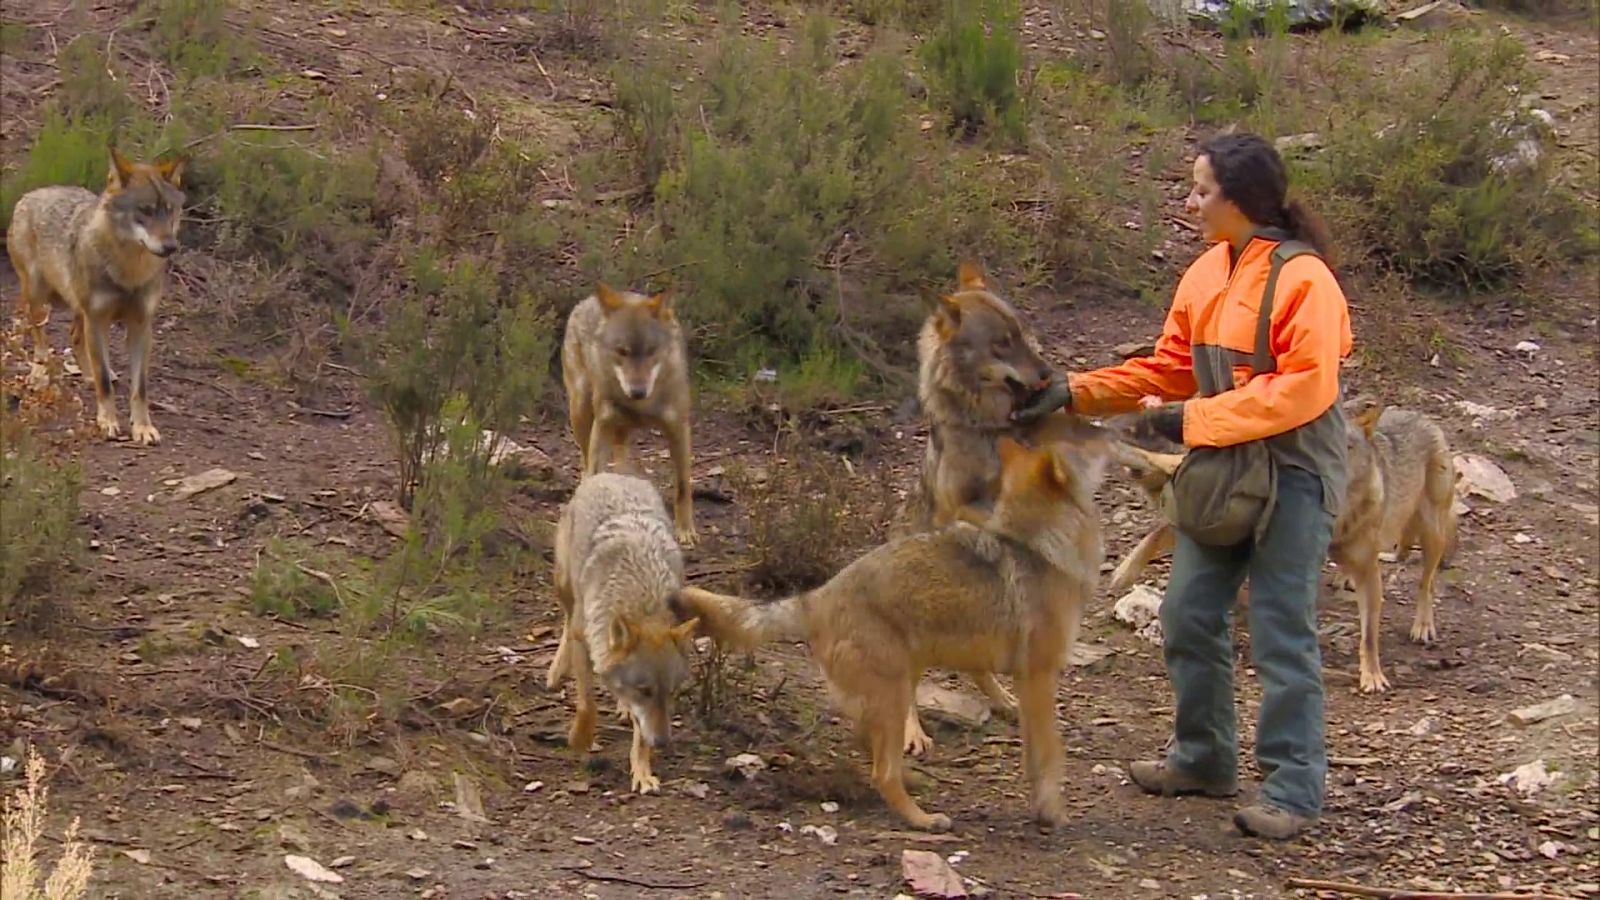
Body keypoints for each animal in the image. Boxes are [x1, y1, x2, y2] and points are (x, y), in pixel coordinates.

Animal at [7, 145, 186, 445]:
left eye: (169, 211)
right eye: (145, 211)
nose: (171, 246)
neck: (128, 271)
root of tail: (30, 194)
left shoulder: (141, 326)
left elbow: (140, 387)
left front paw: (142, 428)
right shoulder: (97, 318)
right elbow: (103, 381)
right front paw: (108, 422)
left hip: (79, 311)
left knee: (75, 337)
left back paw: (86, 373)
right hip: (40, 298)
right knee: (40, 337)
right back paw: (40, 373)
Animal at [545, 472, 700, 794]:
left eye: (671, 692)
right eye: (645, 690)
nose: (663, 742)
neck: (643, 597)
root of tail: (612, 474)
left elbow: (640, 734)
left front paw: (642, 772)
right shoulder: (585, 641)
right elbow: (587, 705)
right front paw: (579, 739)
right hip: (564, 587)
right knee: (565, 620)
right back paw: (555, 672)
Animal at [561, 284, 697, 547]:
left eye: (651, 351)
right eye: (621, 351)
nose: (637, 391)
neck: (641, 407)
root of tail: (585, 301)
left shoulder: (679, 429)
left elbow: (683, 486)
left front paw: (686, 530)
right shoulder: (603, 425)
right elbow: (595, 472)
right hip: (581, 409)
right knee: (586, 462)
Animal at [671, 433, 1111, 832]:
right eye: (1084, 446)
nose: (1109, 434)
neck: (1037, 546)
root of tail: (816, 598)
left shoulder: (1027, 683)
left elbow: (1034, 757)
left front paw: (1041, 809)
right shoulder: (1039, 679)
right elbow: (1052, 755)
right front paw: (1054, 813)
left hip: (898, 686)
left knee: (871, 747)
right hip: (896, 692)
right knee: (881, 771)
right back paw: (924, 819)